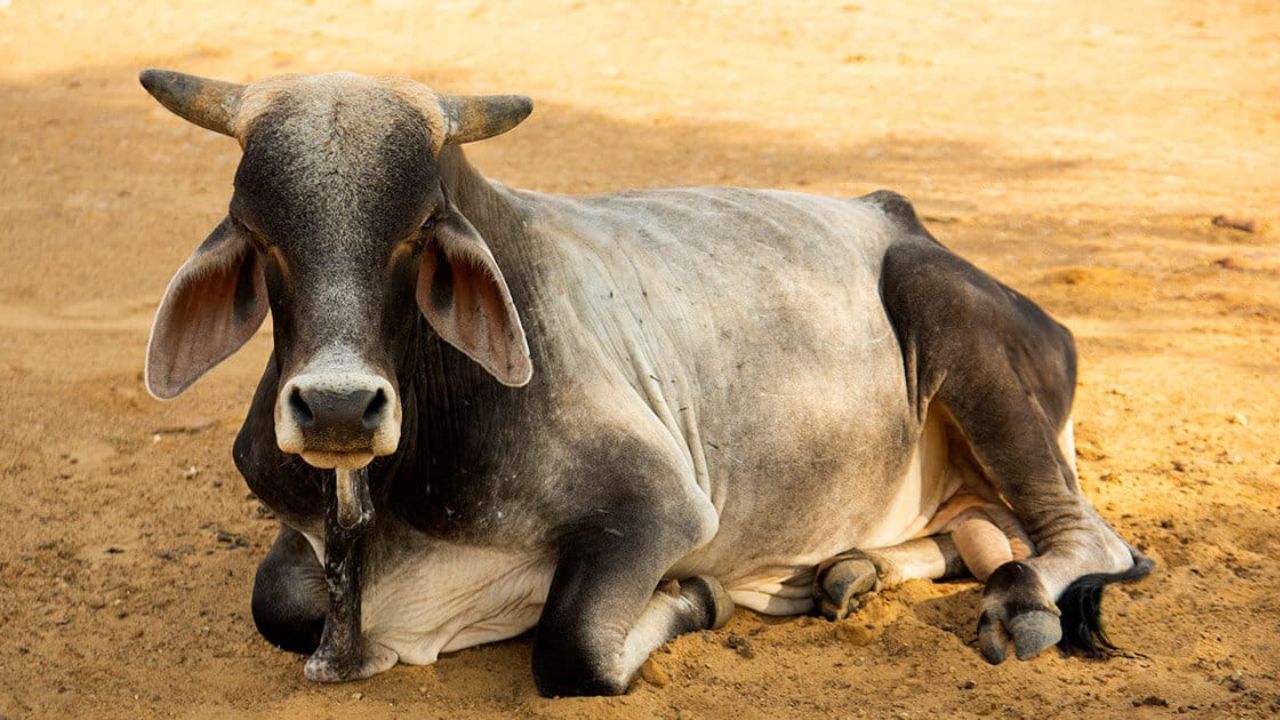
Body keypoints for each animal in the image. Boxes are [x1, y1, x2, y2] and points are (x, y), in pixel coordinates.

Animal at [137, 70, 1152, 691]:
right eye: (257, 232)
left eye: (419, 231)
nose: (339, 407)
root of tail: (903, 220)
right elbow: (279, 606)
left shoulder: (660, 507)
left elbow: (574, 648)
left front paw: (697, 598)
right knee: (972, 533)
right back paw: (847, 572)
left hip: (950, 320)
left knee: (1082, 538)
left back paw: (1015, 600)